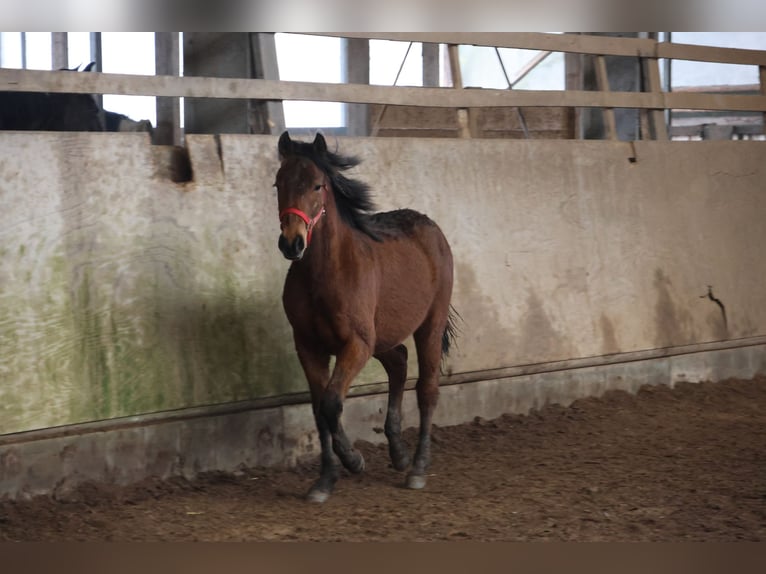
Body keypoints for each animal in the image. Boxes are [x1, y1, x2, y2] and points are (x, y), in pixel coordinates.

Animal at [274, 132, 456, 504]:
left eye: (317, 185)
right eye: (278, 183)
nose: (292, 244)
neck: (323, 274)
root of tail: (431, 228)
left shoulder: (355, 345)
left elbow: (331, 404)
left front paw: (353, 460)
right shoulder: (309, 347)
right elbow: (319, 410)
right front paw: (324, 481)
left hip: (428, 326)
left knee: (427, 389)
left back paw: (417, 468)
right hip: (383, 335)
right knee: (399, 362)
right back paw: (398, 454)